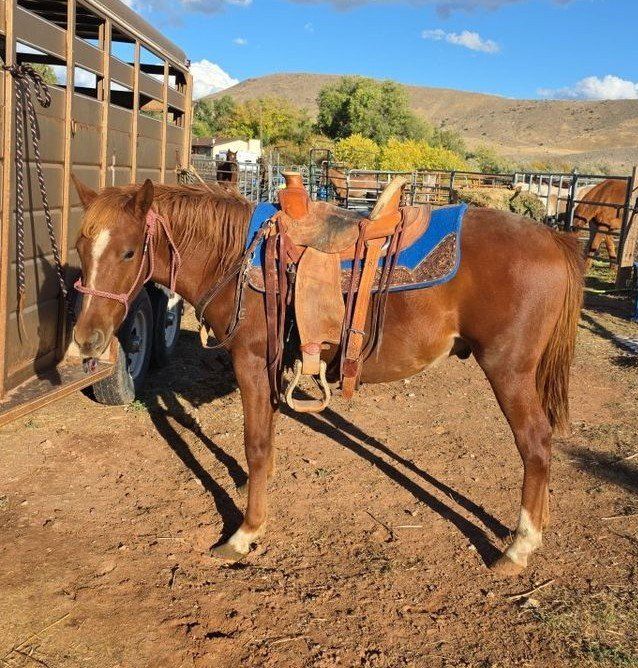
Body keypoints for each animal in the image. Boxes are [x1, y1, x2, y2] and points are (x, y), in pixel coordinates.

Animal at [71, 176, 583, 577]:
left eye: (129, 252)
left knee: (535, 444)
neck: (235, 258)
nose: (86, 340)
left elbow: (256, 445)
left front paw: (245, 532)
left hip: (508, 370)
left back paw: (519, 546)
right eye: (80, 246)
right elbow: (265, 442)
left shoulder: (251, 362)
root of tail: (553, 240)